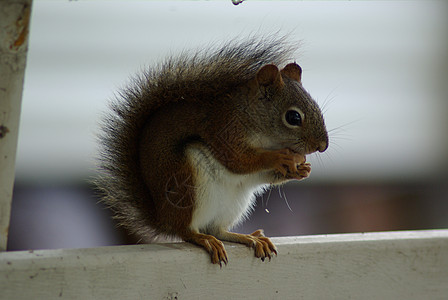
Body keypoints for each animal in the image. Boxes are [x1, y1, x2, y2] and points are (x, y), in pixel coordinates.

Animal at [96, 37, 328, 264]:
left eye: (317, 106)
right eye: (293, 117)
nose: (322, 146)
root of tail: (162, 218)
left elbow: (260, 175)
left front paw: (302, 169)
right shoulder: (223, 130)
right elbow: (238, 160)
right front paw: (279, 157)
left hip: (234, 203)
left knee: (218, 230)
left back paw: (249, 238)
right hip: (187, 184)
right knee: (186, 231)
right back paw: (203, 238)